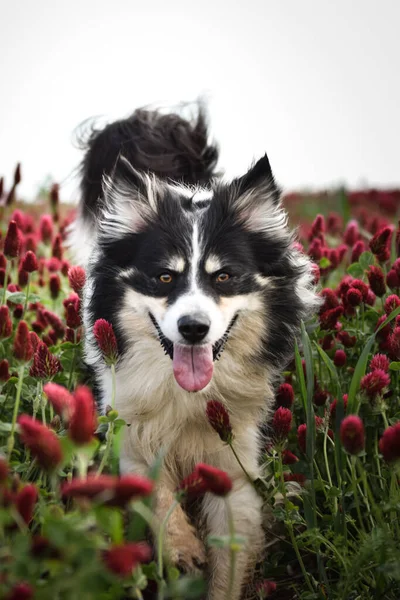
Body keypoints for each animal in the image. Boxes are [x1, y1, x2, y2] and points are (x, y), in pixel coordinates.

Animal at [69, 105, 318, 596]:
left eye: (224, 277)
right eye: (165, 277)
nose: (193, 328)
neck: (188, 396)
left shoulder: (236, 461)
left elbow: (231, 556)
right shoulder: (130, 427)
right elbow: (154, 491)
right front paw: (182, 549)